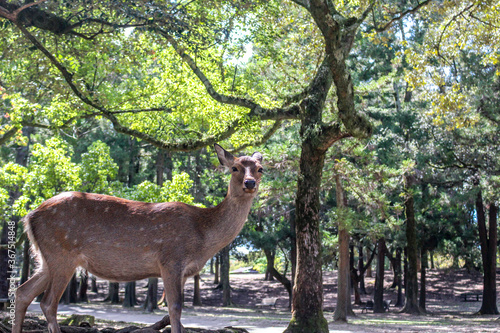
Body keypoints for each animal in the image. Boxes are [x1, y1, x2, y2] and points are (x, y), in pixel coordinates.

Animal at [12, 144, 262, 332]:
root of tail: (29, 216)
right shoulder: (171, 260)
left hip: (47, 258)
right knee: (47, 303)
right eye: (235, 168)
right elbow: (175, 308)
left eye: (260, 169)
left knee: (23, 292)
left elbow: (174, 312)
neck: (202, 235)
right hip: (61, 253)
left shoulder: (183, 271)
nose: (249, 183)